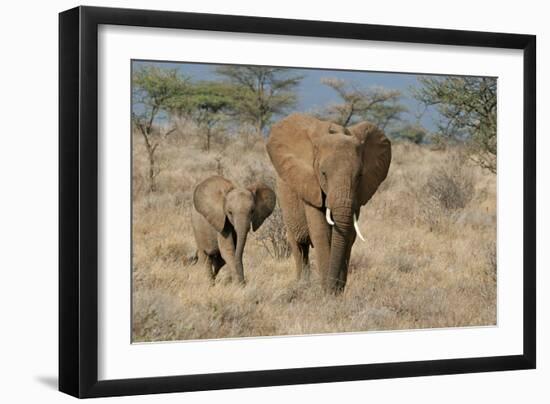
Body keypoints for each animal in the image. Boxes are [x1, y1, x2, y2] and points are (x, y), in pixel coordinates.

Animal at [268, 113, 392, 294]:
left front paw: (336, 292)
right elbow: (321, 232)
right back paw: (302, 284)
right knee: (299, 245)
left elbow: (349, 234)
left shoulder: (358, 194)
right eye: (323, 174)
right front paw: (328, 292)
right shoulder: (311, 185)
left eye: (359, 176)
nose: (334, 288)